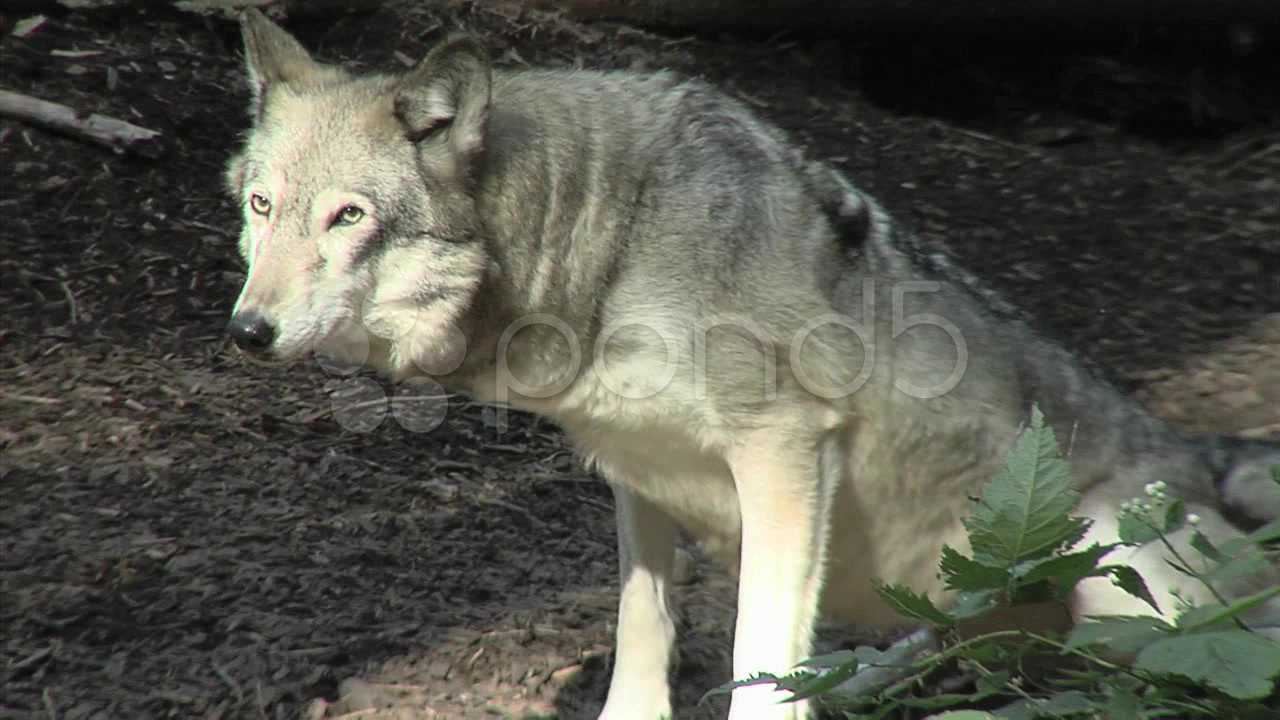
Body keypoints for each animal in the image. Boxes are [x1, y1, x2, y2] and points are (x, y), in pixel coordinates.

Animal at [220, 9, 1280, 719]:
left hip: (1121, 577)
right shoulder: (633, 472)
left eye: (348, 216)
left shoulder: (783, 454)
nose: (247, 331)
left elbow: (760, 662)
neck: (611, 241)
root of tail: (1193, 448)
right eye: (262, 206)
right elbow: (643, 629)